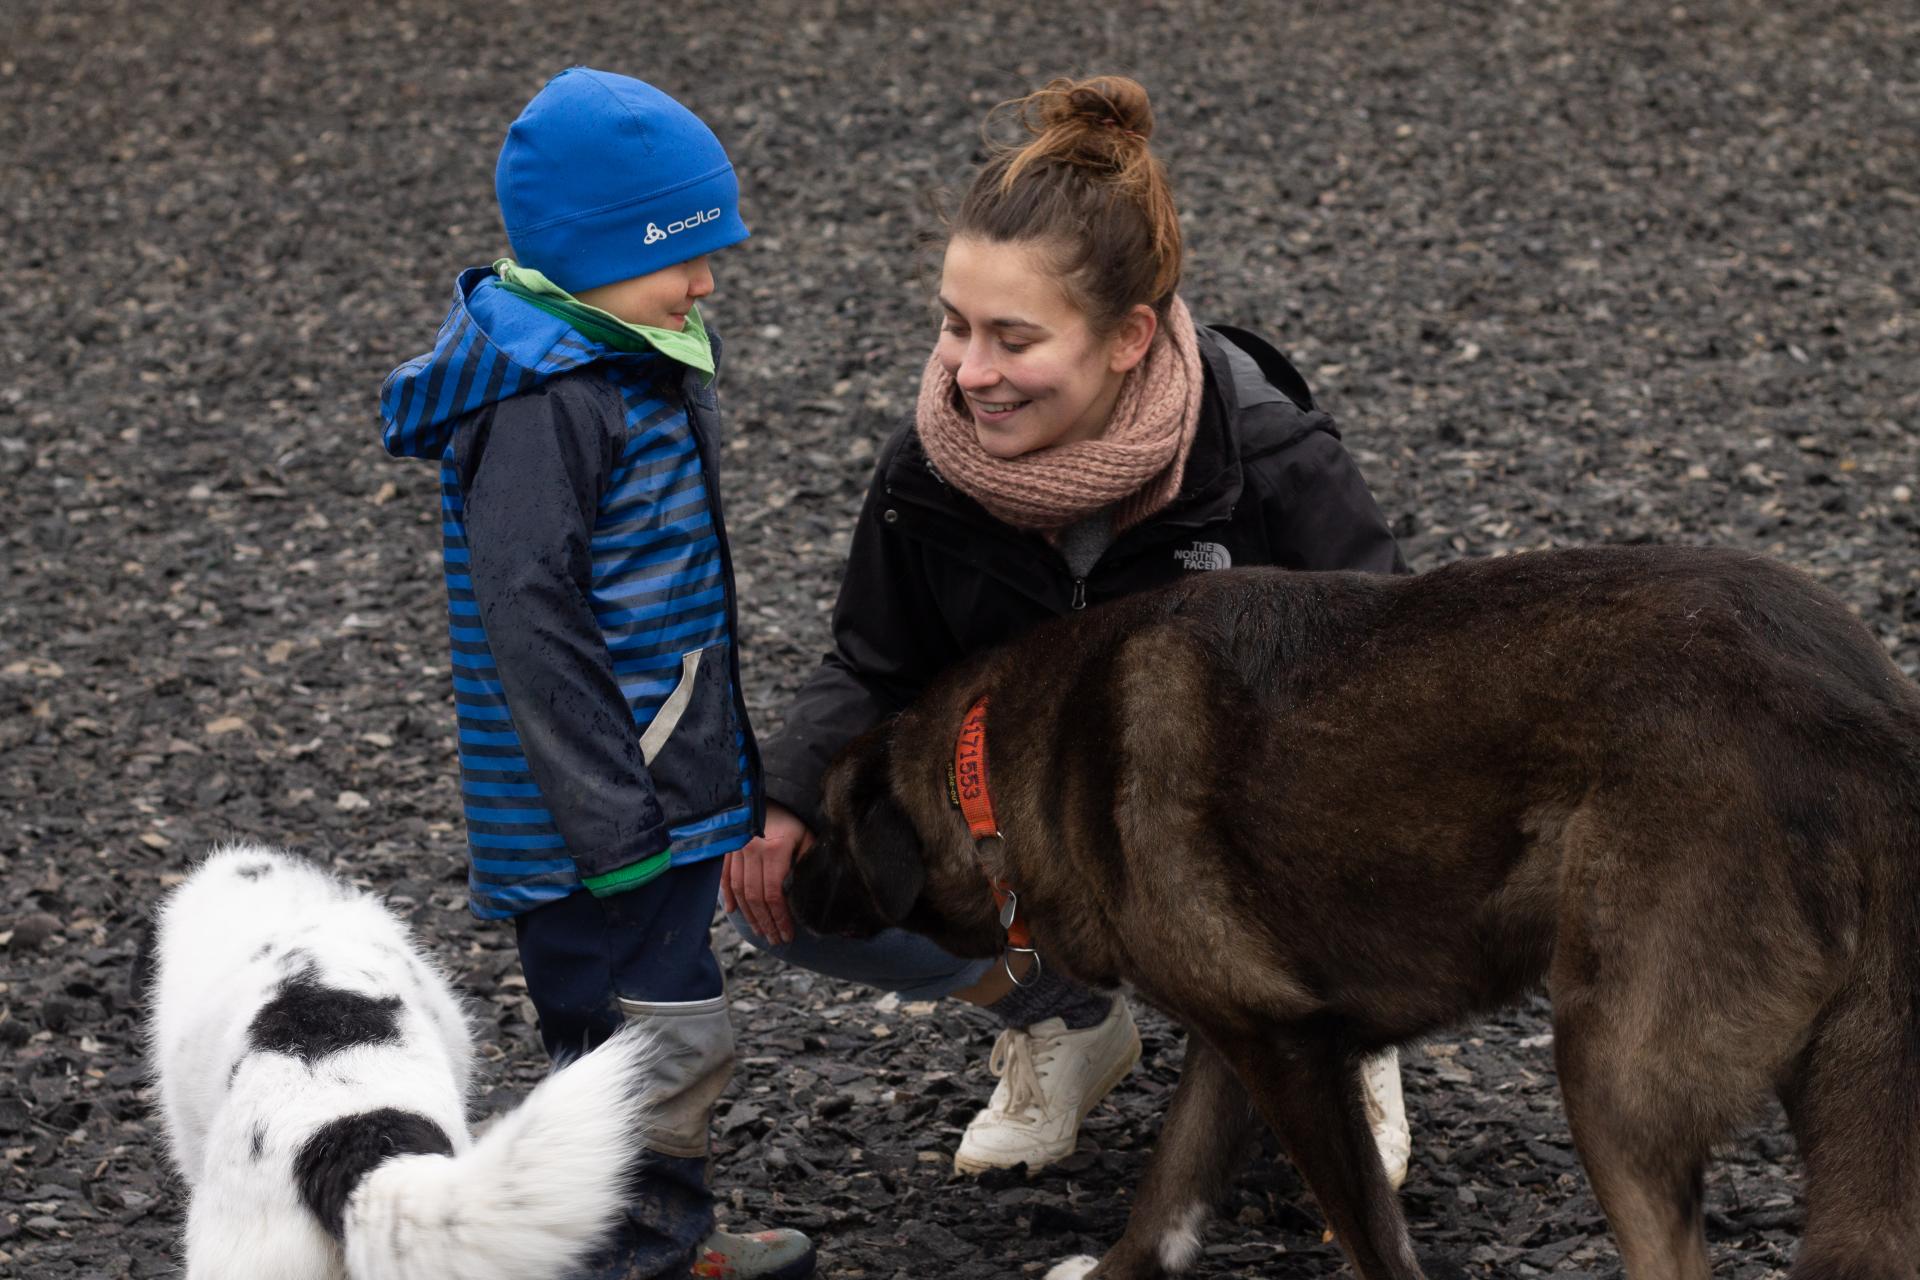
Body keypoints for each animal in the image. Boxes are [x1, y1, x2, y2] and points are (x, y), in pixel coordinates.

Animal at [779, 545, 1920, 1280]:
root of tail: (1857, 713)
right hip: (1847, 1088)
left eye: (827, 831)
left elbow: (1373, 1241)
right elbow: (1169, 1193)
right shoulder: (1244, 1034)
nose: (776, 884)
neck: (1000, 764)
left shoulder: (1291, 1056)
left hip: (1612, 1073)